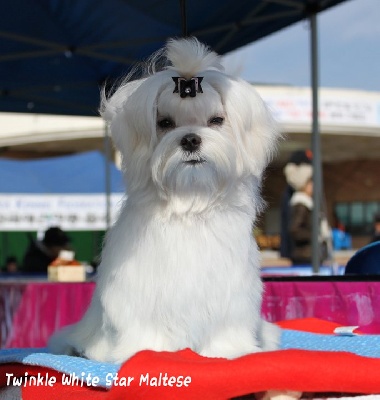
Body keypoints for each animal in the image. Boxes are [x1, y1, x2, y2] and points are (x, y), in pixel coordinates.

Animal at [49, 36, 280, 362]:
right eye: (165, 123)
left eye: (216, 120)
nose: (191, 139)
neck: (190, 202)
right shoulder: (140, 287)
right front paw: (149, 351)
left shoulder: (230, 291)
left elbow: (225, 326)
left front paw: (227, 351)